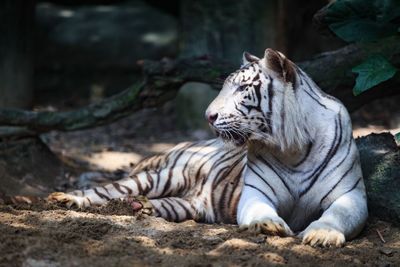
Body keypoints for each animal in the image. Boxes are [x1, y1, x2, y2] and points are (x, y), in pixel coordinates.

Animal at [48, 48, 368, 249]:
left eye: (242, 89)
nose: (207, 116)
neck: (293, 150)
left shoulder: (351, 195)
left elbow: (338, 215)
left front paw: (322, 235)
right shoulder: (257, 191)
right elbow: (261, 209)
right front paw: (268, 225)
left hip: (187, 205)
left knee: (159, 204)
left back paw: (141, 206)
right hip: (161, 176)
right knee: (104, 191)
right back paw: (67, 199)